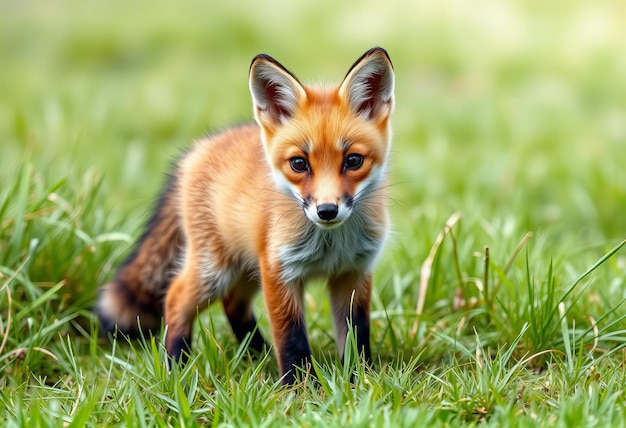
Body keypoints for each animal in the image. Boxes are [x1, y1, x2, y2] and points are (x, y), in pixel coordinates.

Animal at [95, 46, 392, 384]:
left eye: (353, 161)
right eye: (299, 163)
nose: (327, 211)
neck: (331, 245)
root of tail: (197, 150)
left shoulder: (353, 272)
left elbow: (357, 335)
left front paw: (359, 380)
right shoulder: (280, 271)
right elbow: (291, 338)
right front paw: (300, 388)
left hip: (247, 266)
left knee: (233, 304)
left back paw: (258, 354)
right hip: (216, 270)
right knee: (176, 297)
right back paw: (177, 367)